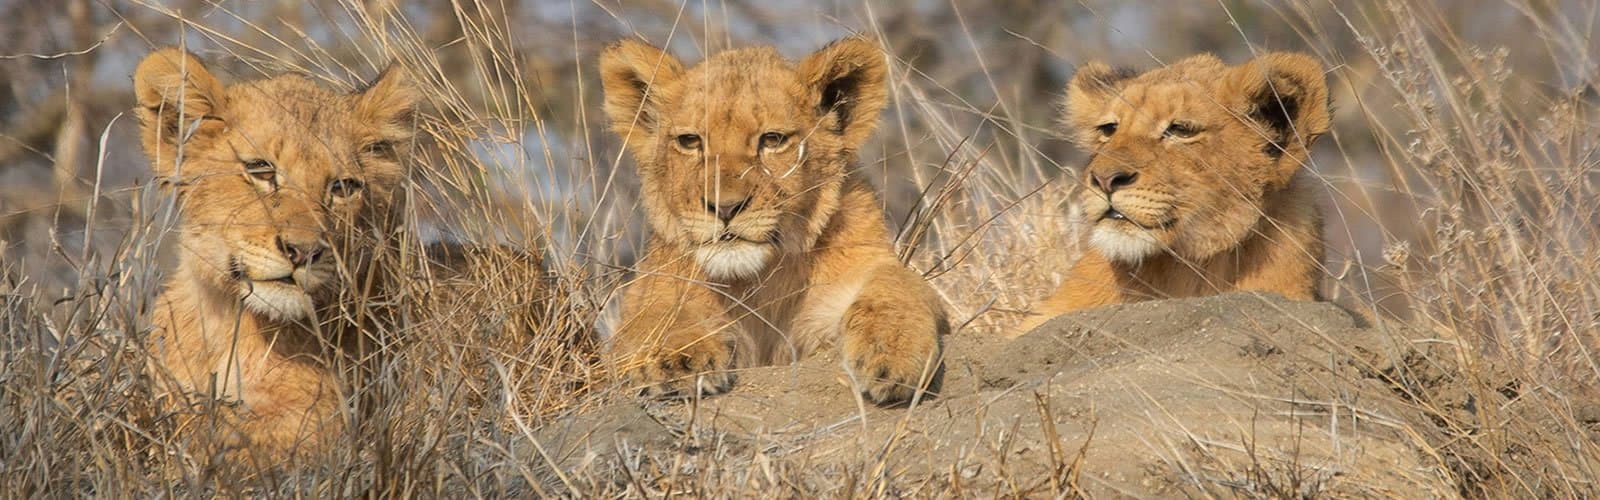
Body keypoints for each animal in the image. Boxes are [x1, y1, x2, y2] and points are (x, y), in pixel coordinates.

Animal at [599, 37, 946, 405]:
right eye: (690, 141)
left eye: (772, 140)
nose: (726, 208)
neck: (758, 281)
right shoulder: (653, 289)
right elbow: (657, 314)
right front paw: (675, 360)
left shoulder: (860, 271)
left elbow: (898, 285)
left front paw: (892, 352)